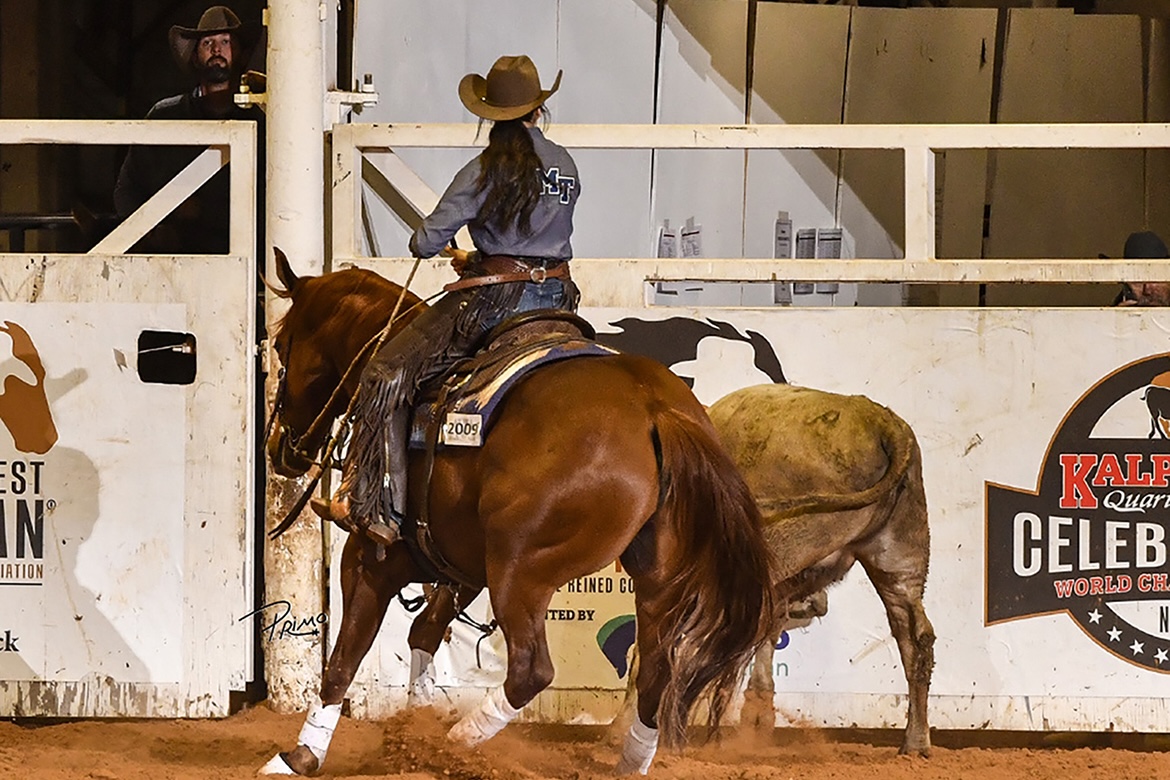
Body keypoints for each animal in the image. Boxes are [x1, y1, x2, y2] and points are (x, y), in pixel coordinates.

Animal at [260, 249, 776, 776]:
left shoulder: (372, 558)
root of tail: (656, 409)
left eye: (279, 346)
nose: (279, 448)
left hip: (520, 570)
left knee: (532, 670)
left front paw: (299, 756)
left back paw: (459, 740)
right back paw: (628, 762)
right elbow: (425, 631)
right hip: (658, 579)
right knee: (657, 671)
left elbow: (345, 656)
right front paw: (413, 725)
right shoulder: (460, 567)